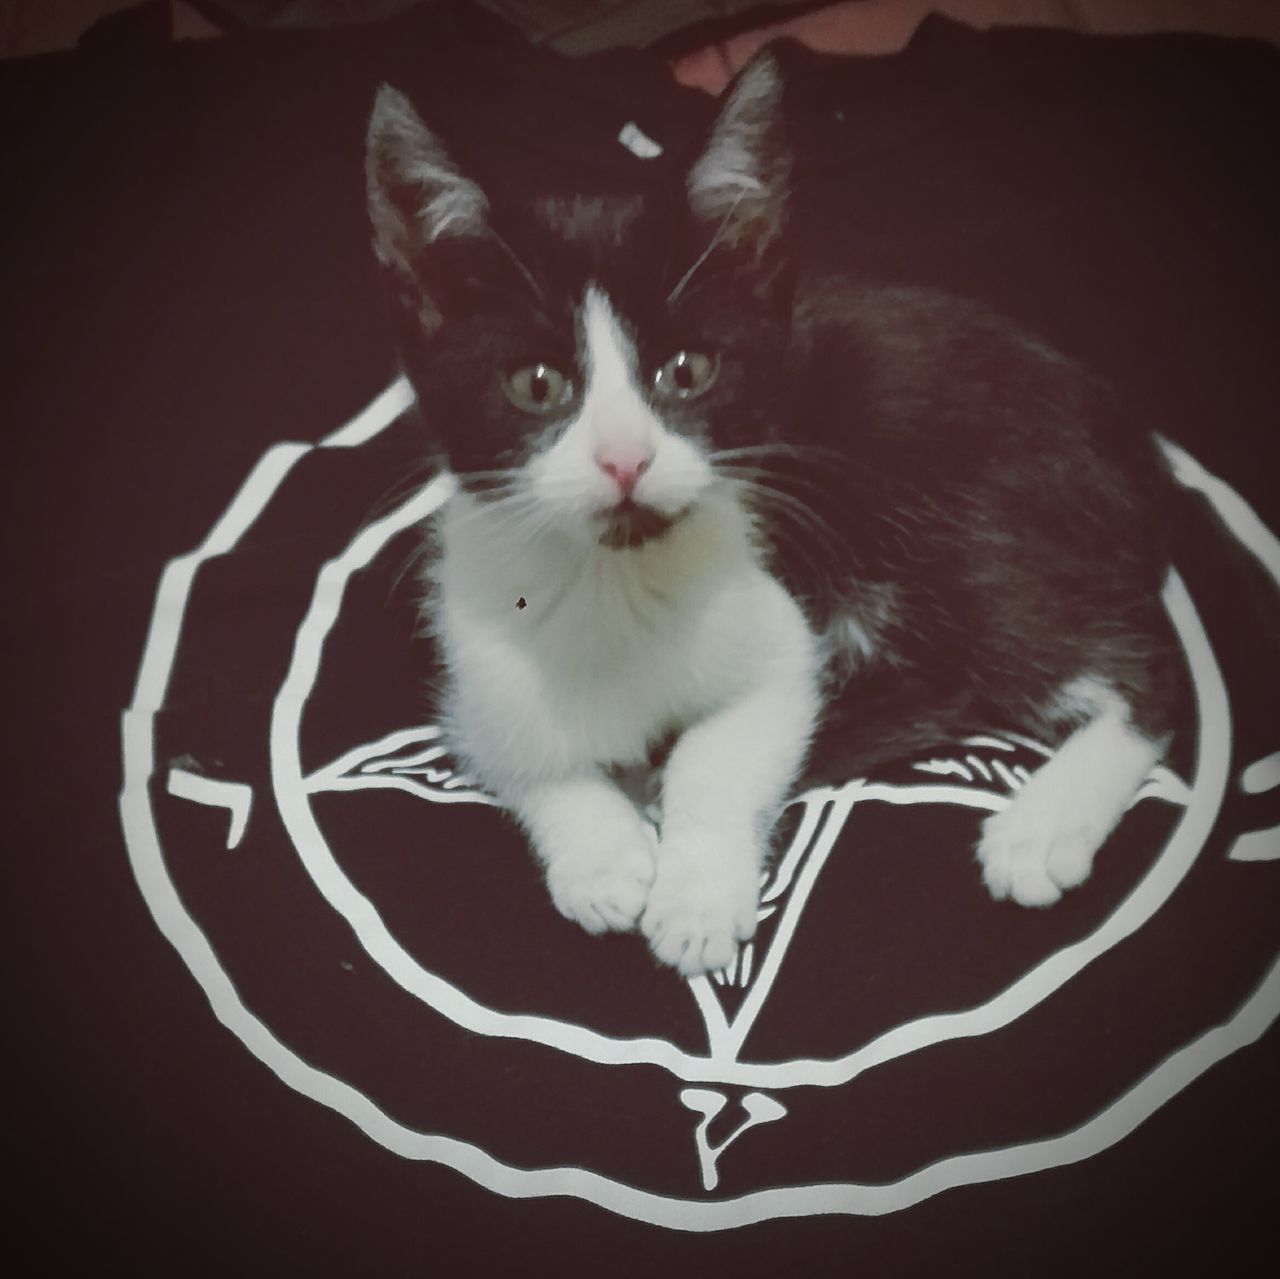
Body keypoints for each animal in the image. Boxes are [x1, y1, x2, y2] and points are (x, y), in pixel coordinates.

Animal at [363, 47, 1177, 967]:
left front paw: (696, 899)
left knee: (1133, 670)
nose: (625, 458)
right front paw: (599, 858)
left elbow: (722, 751)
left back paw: (1042, 824)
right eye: (537, 385)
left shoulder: (777, 627)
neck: (617, 576)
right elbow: (519, 747)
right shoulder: (474, 650)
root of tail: (1128, 436)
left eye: (687, 371)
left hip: (965, 504)